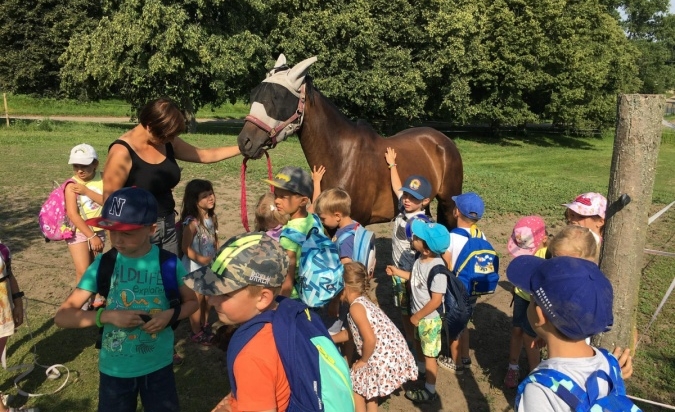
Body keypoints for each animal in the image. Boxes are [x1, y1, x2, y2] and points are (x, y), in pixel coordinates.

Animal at [238, 54, 464, 229]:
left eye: (279, 98)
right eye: (254, 93)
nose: (245, 142)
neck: (342, 157)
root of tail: (443, 140)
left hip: (448, 203)